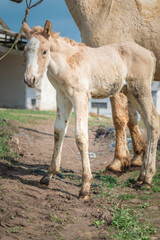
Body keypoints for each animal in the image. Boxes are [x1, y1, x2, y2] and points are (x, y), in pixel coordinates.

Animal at [22, 20, 159, 200]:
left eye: (44, 51)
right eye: (25, 50)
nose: (30, 80)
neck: (67, 61)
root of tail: (150, 53)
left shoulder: (80, 97)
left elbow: (81, 137)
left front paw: (85, 187)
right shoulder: (62, 96)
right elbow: (59, 131)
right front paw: (48, 175)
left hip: (141, 91)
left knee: (153, 121)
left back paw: (148, 179)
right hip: (131, 92)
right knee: (150, 123)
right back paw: (141, 177)